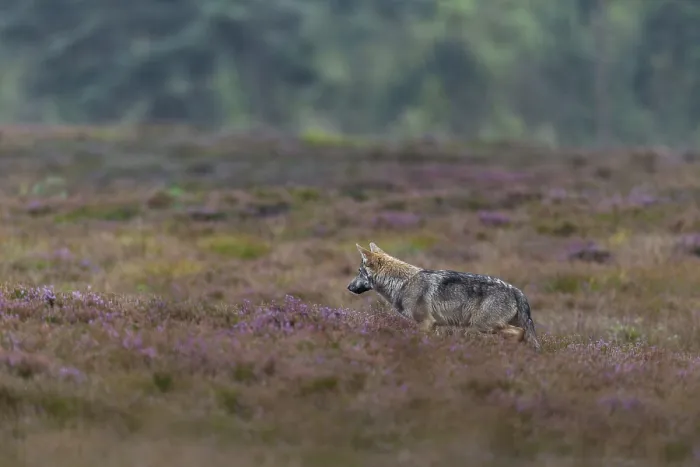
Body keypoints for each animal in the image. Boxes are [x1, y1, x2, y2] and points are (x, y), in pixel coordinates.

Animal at [346, 242, 541, 351]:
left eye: (359, 272)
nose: (348, 287)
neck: (403, 282)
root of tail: (517, 290)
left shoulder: (426, 323)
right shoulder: (434, 326)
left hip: (483, 326)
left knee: (520, 333)